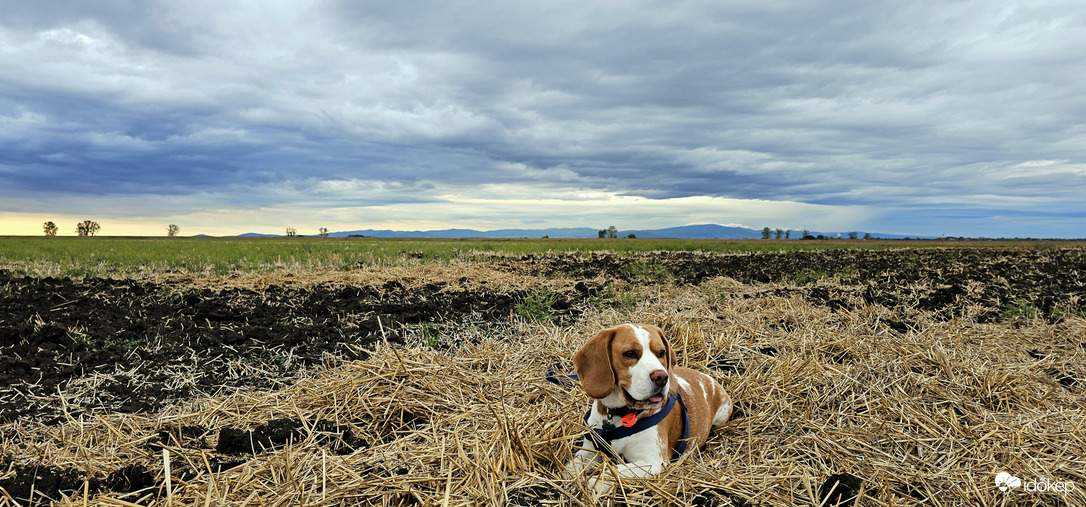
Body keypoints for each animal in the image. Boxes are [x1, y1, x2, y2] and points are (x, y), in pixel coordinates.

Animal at [564, 323, 734, 490]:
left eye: (661, 352)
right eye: (629, 353)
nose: (662, 377)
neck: (619, 414)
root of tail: (706, 376)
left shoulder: (651, 462)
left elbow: (616, 470)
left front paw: (596, 482)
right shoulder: (590, 448)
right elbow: (573, 465)